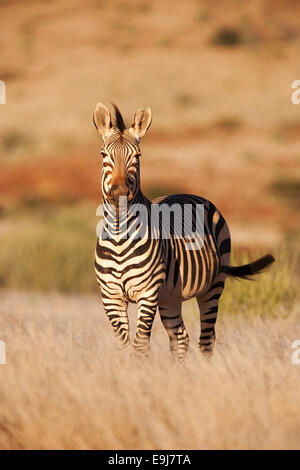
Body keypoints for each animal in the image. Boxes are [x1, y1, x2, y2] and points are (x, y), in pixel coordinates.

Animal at [93, 103, 274, 360]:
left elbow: (140, 345)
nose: (119, 192)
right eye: (103, 155)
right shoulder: (110, 297)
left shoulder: (148, 293)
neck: (120, 235)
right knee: (180, 338)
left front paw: (138, 371)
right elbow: (125, 346)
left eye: (137, 156)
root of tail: (194, 194)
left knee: (206, 339)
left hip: (213, 286)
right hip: (171, 295)